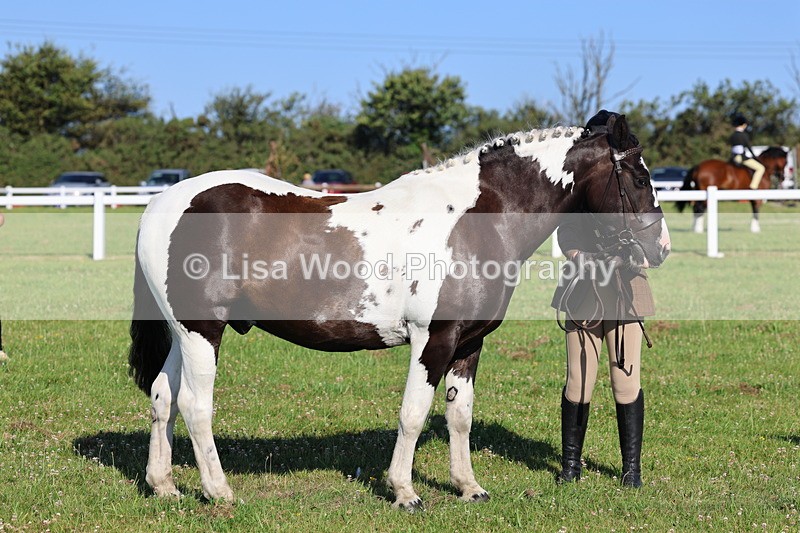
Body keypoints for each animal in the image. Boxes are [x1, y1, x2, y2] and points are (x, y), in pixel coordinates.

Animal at [128, 110, 671, 510]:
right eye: (638, 177)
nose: (660, 247)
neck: (475, 220)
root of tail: (162, 204)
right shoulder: (433, 339)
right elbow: (412, 413)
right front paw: (405, 491)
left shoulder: (469, 344)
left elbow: (459, 416)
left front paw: (469, 487)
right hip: (202, 331)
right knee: (195, 405)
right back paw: (219, 491)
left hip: (182, 333)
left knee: (162, 397)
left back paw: (164, 486)